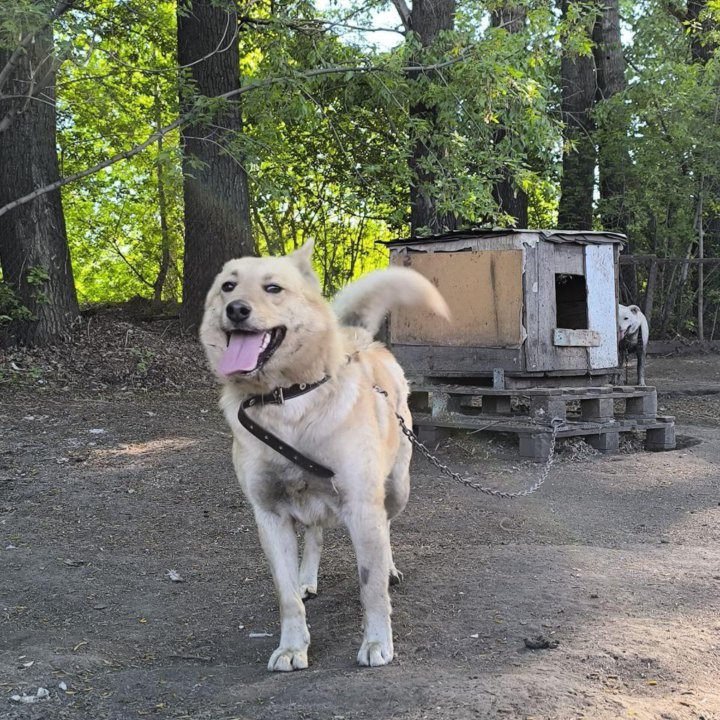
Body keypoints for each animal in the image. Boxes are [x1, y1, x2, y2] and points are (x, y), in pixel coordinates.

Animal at [200, 240, 450, 668]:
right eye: (228, 287)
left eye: (273, 288)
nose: (236, 309)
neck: (287, 401)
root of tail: (360, 337)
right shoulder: (269, 516)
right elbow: (286, 597)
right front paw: (292, 646)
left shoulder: (362, 506)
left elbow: (370, 588)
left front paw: (376, 642)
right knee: (314, 534)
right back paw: (306, 578)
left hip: (396, 489)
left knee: (386, 529)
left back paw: (389, 568)